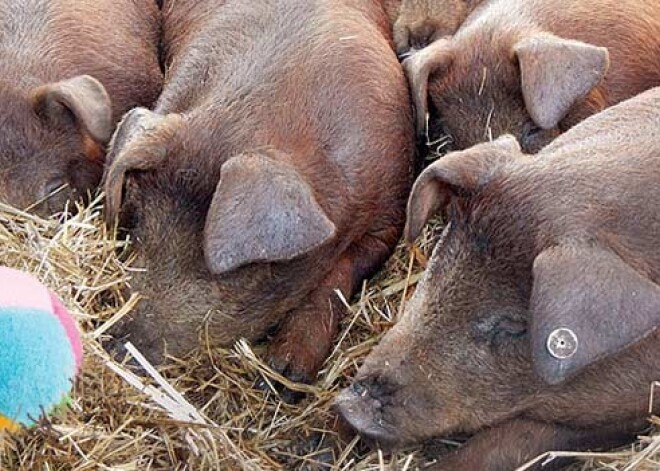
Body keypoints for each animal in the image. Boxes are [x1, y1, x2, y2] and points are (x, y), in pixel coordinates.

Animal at [102, 0, 412, 390]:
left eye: (240, 271)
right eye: (141, 220)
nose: (117, 347)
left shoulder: (390, 214)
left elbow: (339, 275)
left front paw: (282, 379)